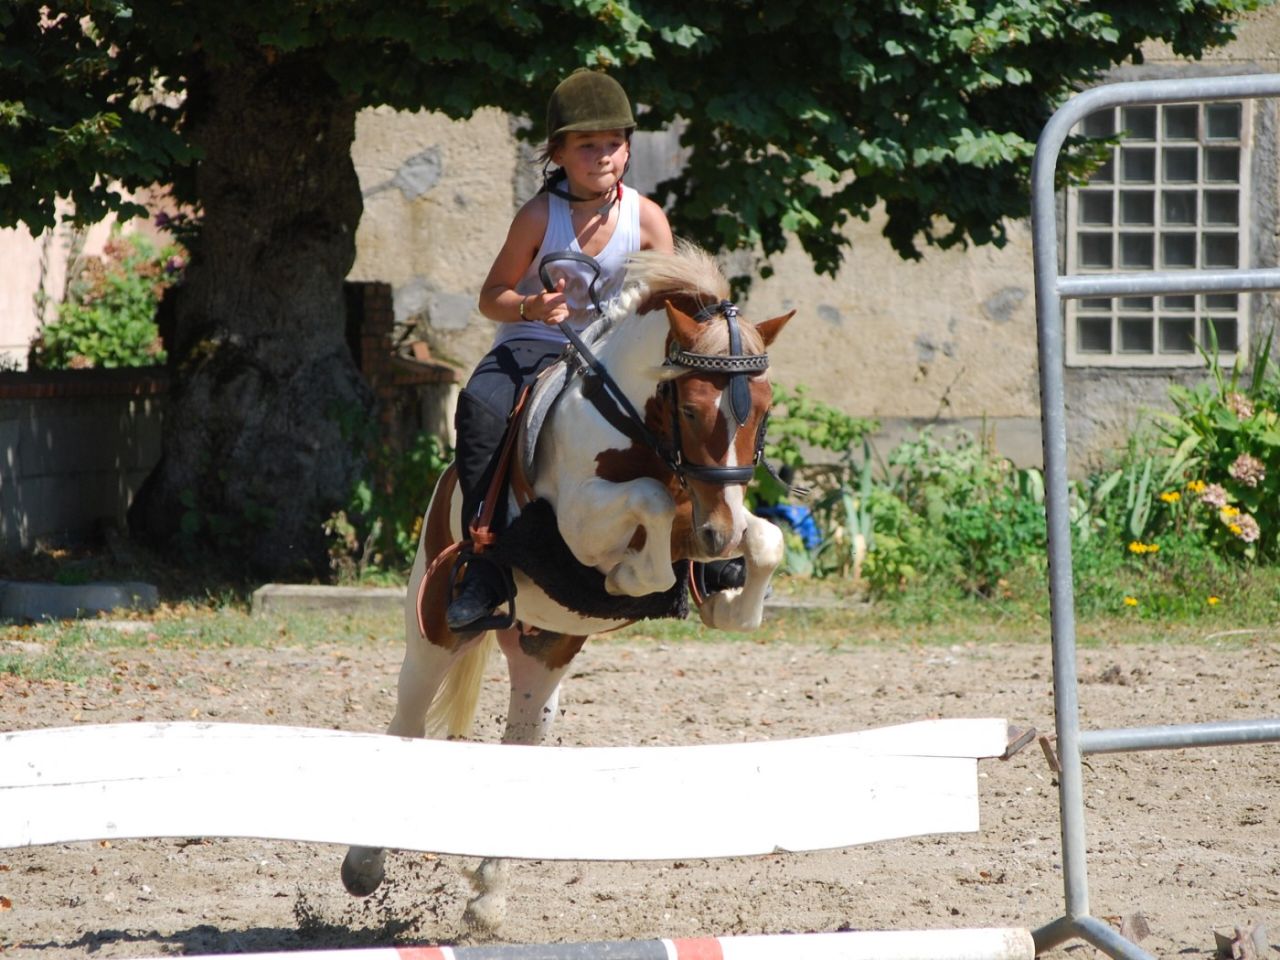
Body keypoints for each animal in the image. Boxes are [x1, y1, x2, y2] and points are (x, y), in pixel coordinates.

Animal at [340, 241, 793, 931]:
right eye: (691, 409)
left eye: (762, 411)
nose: (718, 541)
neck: (639, 428)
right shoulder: (580, 521)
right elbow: (649, 505)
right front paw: (638, 577)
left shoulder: (709, 514)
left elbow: (765, 538)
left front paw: (722, 598)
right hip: (435, 627)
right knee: (409, 720)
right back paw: (364, 867)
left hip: (544, 647)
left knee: (521, 737)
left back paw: (487, 896)